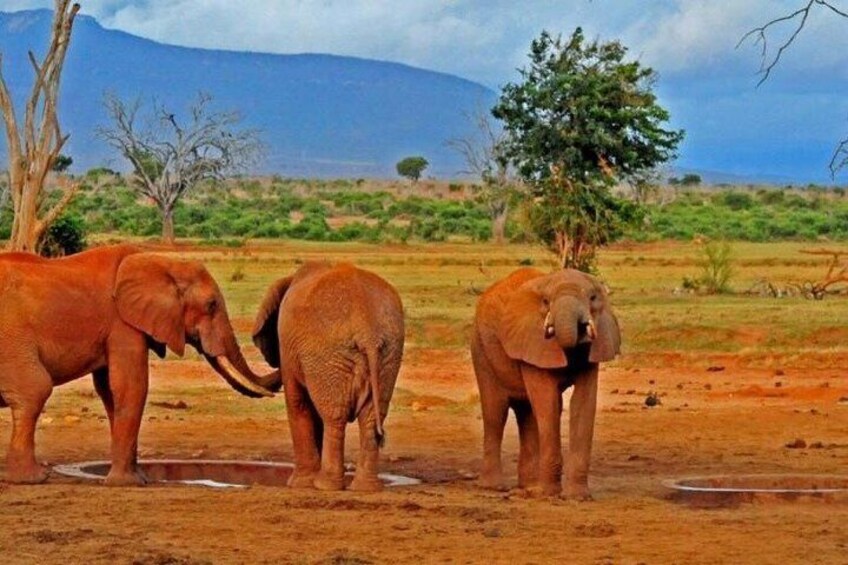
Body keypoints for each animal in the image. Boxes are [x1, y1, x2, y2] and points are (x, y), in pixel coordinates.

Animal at [0, 244, 280, 486]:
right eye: (211, 305)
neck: (160, 262)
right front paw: (128, 483)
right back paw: (33, 479)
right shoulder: (122, 322)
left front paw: (138, 478)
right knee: (35, 389)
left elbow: (110, 390)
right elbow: (130, 385)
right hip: (11, 341)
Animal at [252, 262, 404, 492]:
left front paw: (300, 484)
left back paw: (325, 485)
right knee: (369, 419)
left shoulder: (289, 348)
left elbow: (297, 403)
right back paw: (366, 487)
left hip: (328, 354)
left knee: (334, 416)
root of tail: (367, 330)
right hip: (387, 353)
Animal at [471, 267, 621, 499]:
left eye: (593, 298)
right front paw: (549, 494)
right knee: (496, 411)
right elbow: (547, 401)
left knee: (528, 413)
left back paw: (529, 487)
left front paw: (577, 497)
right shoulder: (533, 341)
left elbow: (582, 403)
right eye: (546, 301)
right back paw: (494, 487)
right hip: (481, 347)